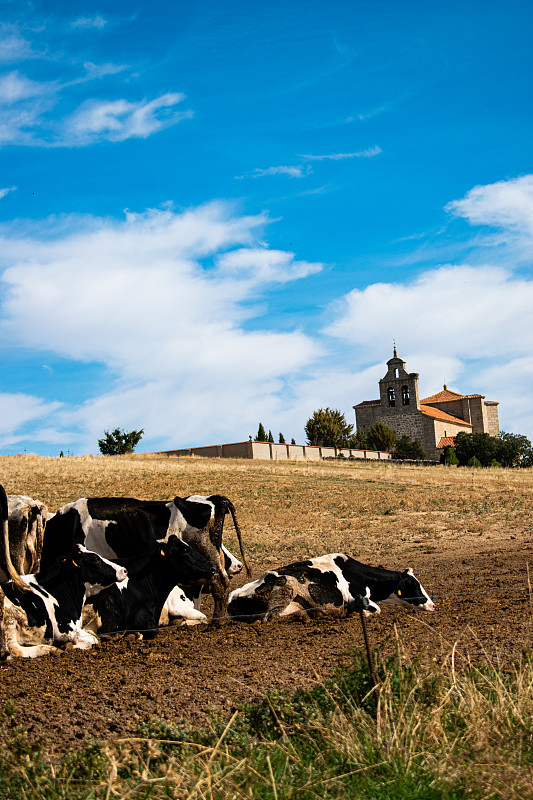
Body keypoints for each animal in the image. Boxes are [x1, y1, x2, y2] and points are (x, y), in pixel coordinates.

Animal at [227, 552, 434, 620]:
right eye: (414, 586)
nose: (433, 605)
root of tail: (233, 596)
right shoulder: (357, 598)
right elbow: (375, 609)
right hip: (287, 585)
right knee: (269, 618)